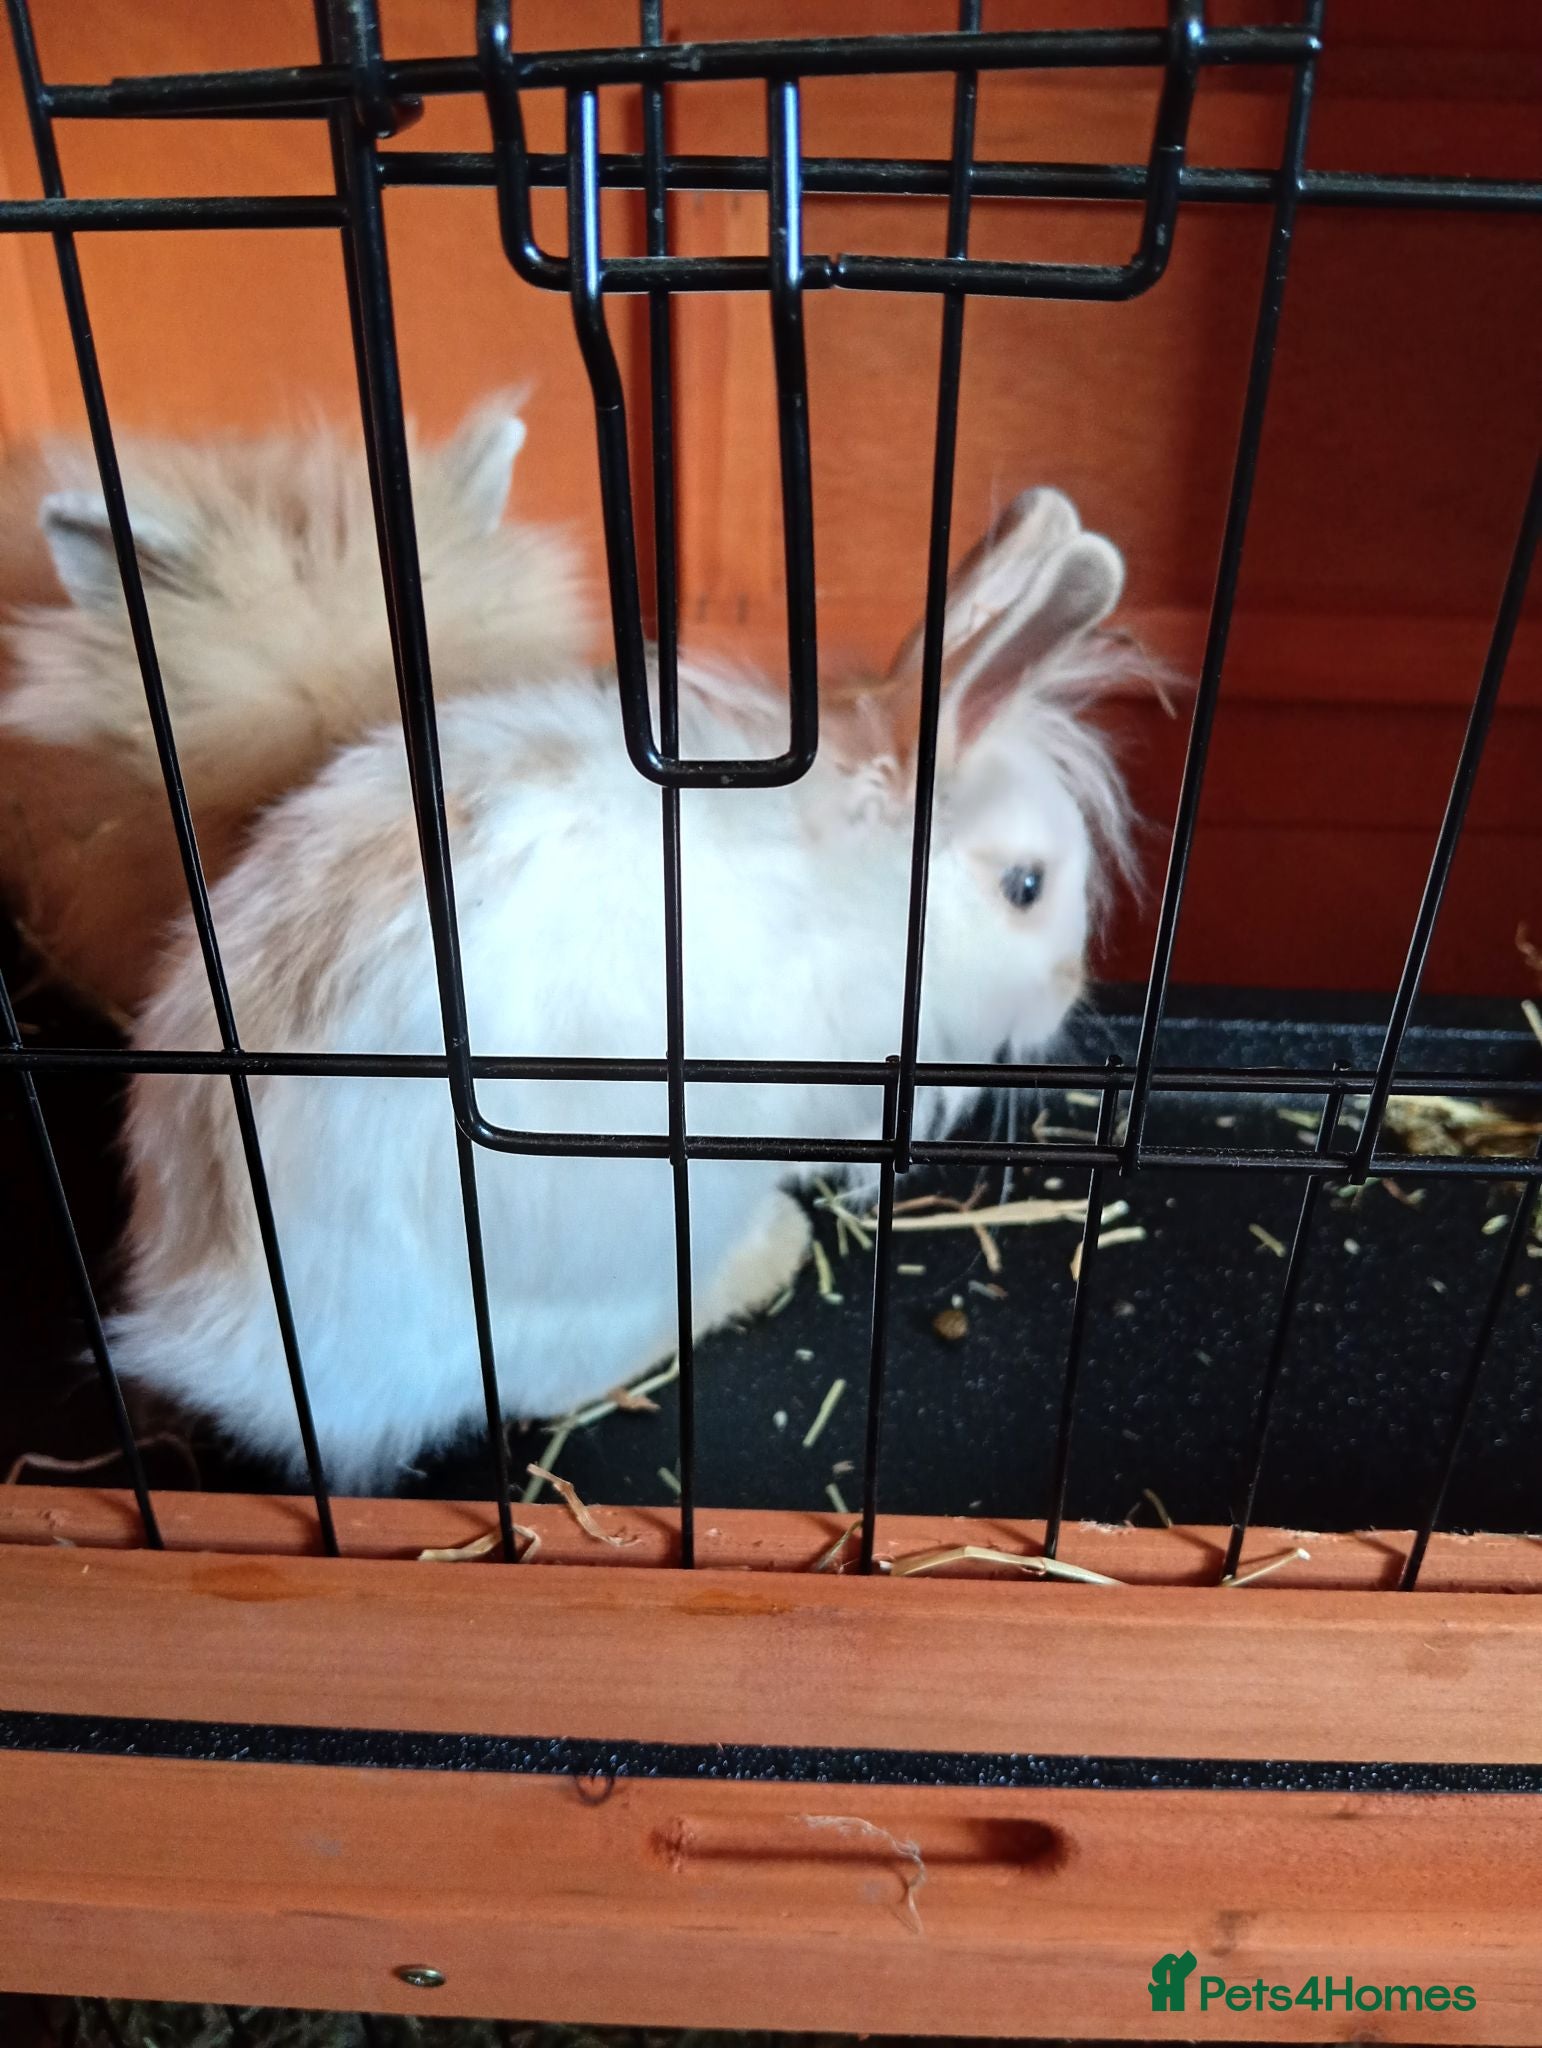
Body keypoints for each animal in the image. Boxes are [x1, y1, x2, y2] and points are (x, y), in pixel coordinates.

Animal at [107, 486, 1148, 1490]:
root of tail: (229, 1334)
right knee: (554, 1381)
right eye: (1026, 887)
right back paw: (764, 1256)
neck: (857, 889)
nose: (1070, 986)